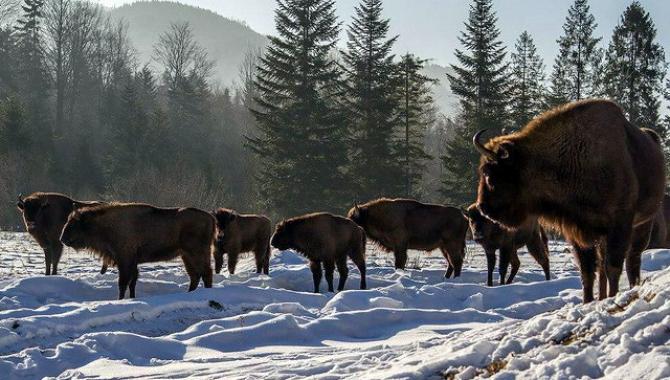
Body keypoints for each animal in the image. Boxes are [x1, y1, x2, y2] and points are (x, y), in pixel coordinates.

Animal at [60, 203, 214, 298]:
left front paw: (121, 299)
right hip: (186, 255)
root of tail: (211, 218)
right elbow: (132, 282)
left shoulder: (125, 260)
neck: (107, 225)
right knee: (195, 276)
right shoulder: (132, 262)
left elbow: (123, 283)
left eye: (74, 223)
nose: (62, 238)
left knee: (205, 273)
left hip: (196, 253)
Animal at [472, 98, 668, 302]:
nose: (483, 207)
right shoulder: (579, 231)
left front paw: (611, 297)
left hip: (642, 225)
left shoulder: (619, 226)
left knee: (631, 262)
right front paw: (588, 301)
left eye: (489, 174)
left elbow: (612, 268)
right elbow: (587, 272)